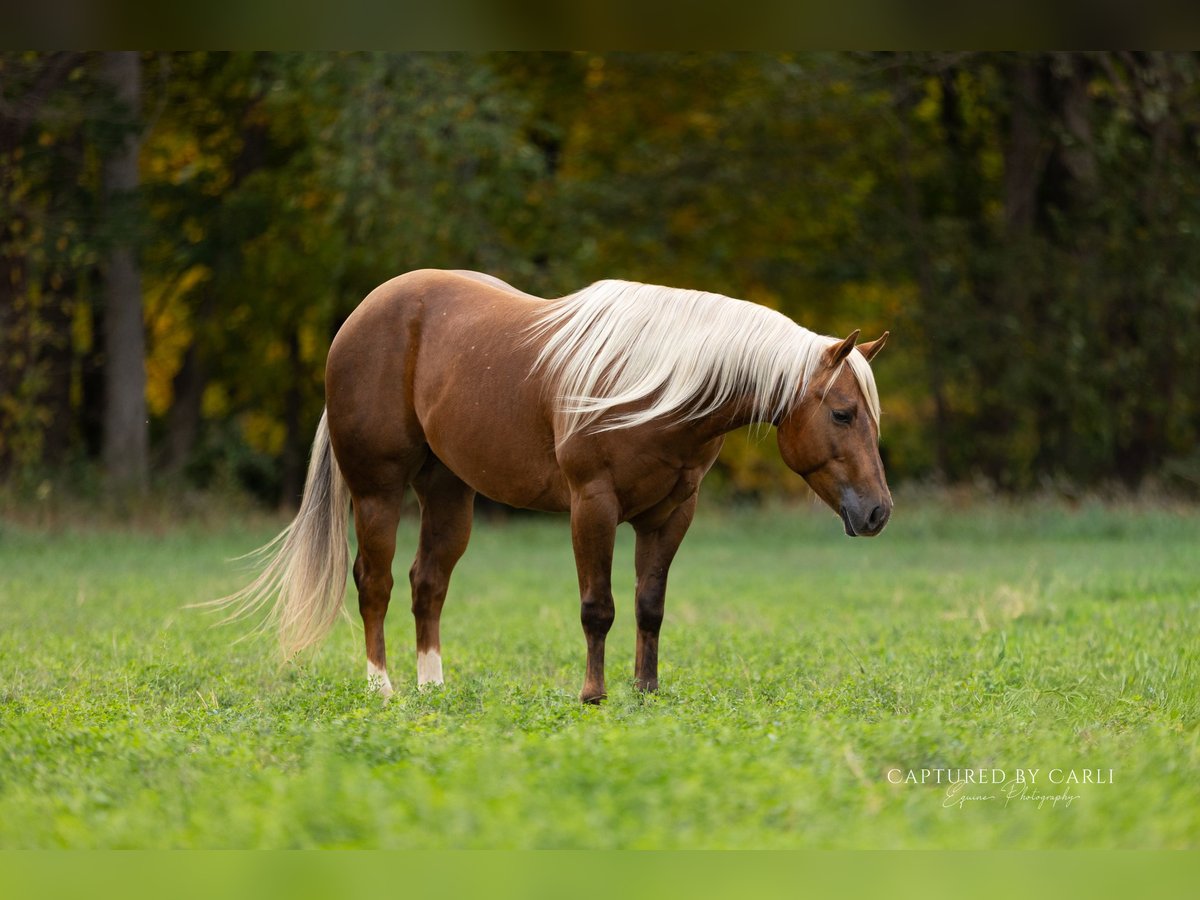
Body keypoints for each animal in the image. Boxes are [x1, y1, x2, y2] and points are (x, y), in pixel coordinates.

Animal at [213, 268, 891, 703]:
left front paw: (647, 691)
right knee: (373, 583)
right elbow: (599, 607)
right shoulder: (592, 505)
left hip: (449, 494)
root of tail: (360, 317)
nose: (878, 513)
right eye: (842, 414)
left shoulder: (672, 512)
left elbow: (649, 605)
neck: (657, 382)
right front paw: (594, 695)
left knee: (427, 583)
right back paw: (382, 688)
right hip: (377, 491)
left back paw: (433, 688)